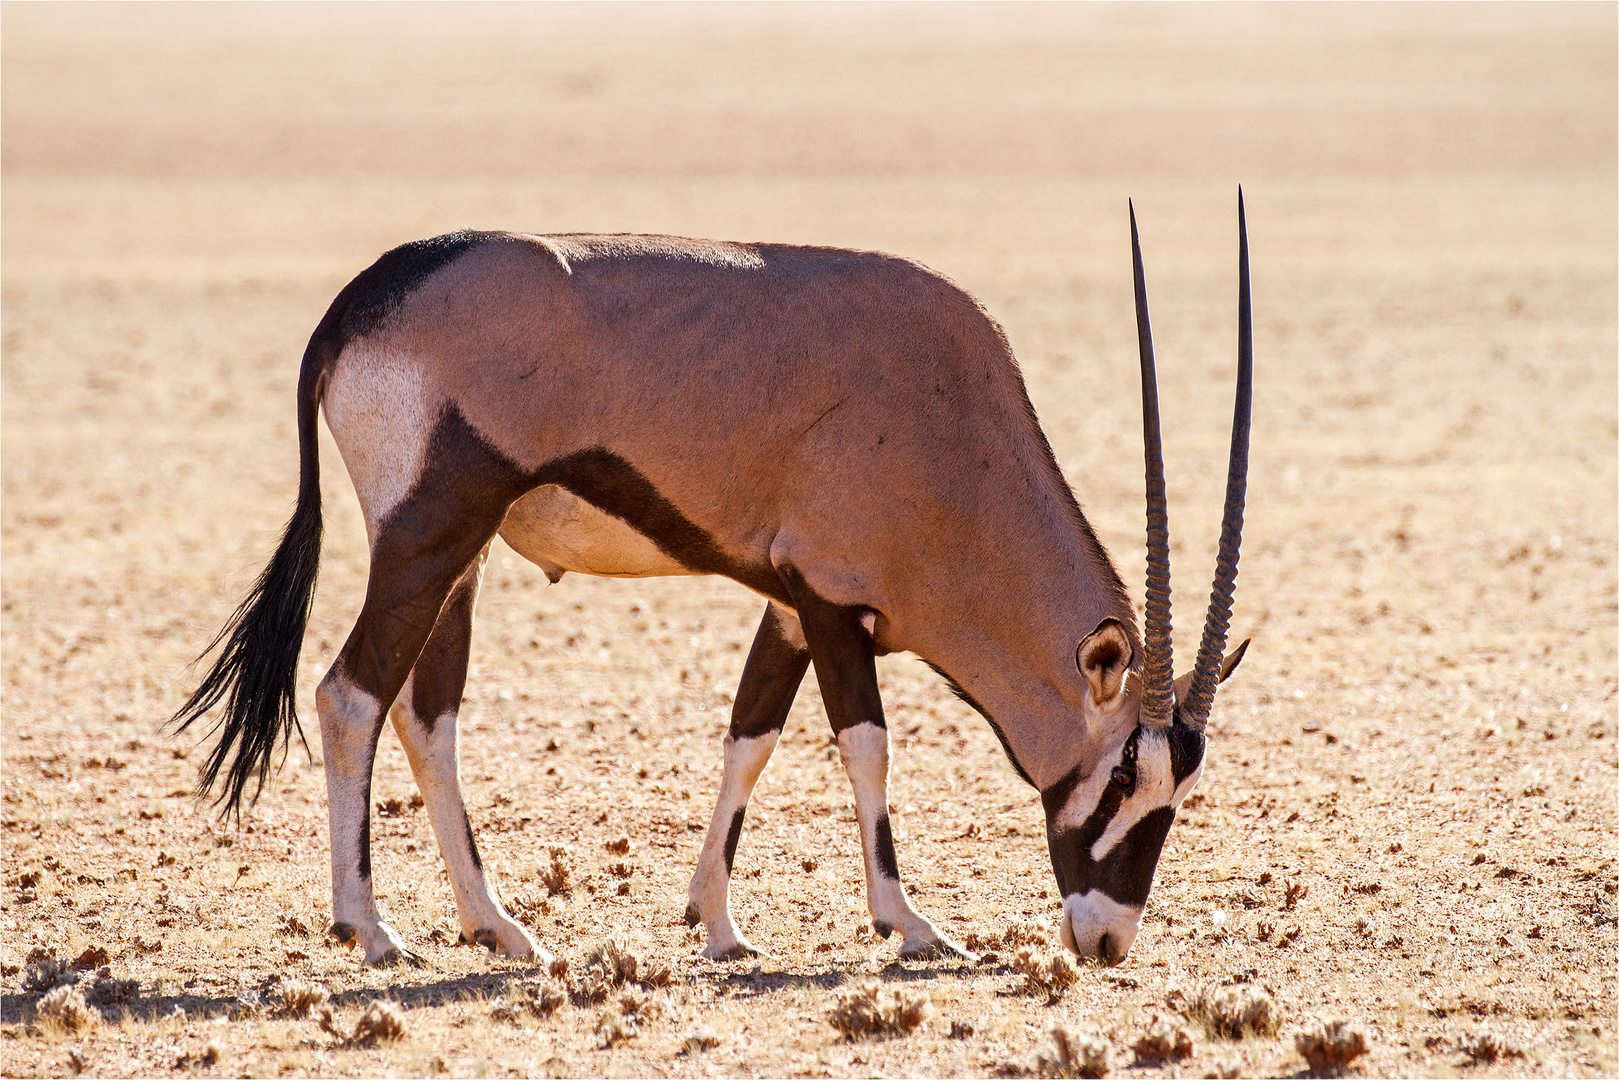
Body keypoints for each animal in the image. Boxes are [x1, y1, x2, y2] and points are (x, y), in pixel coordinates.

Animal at [174, 196, 1249, 971]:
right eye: (1124, 775)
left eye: (1182, 788)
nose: (1105, 940)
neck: (951, 427)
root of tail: (362, 298)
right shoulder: (831, 603)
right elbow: (866, 748)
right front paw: (908, 922)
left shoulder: (786, 604)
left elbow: (749, 740)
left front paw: (717, 923)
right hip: (426, 535)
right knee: (351, 695)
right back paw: (370, 929)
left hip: (459, 557)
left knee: (424, 714)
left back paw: (500, 927)